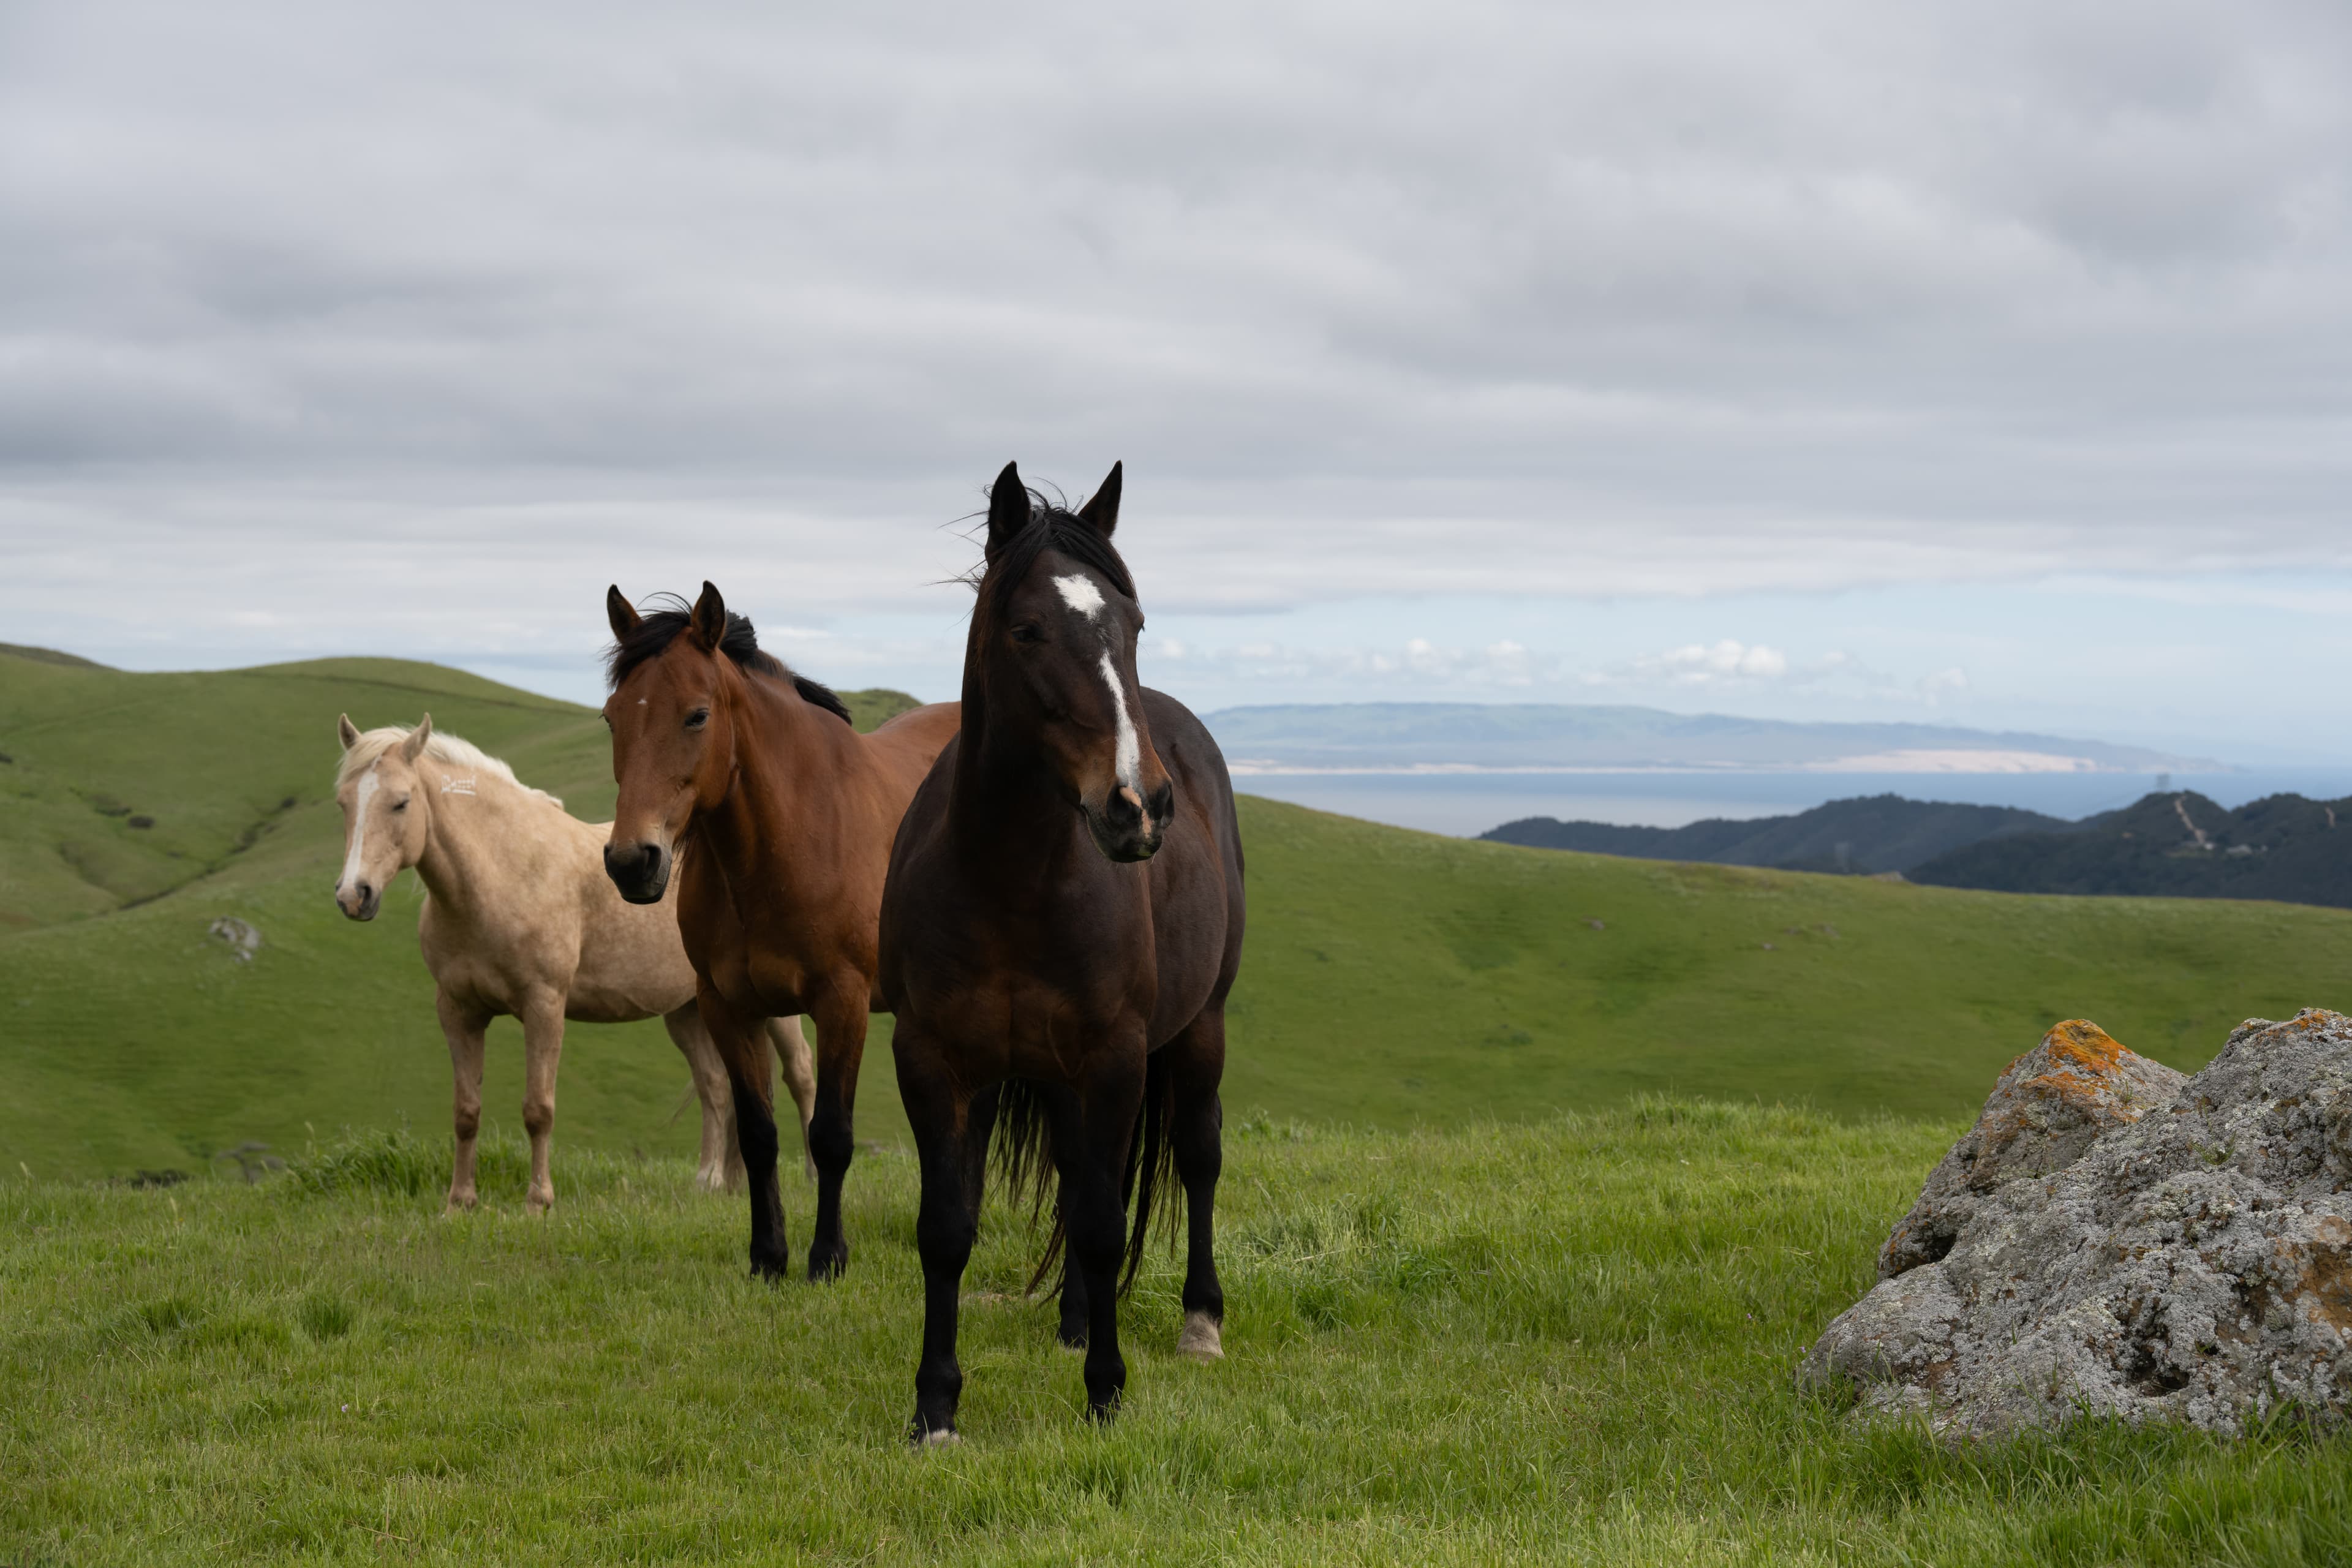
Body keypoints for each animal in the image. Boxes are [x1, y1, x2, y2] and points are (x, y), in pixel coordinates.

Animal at [332, 716, 816, 1211]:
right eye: (343, 802)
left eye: (401, 802)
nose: (354, 895)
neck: (503, 875)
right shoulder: (457, 1011)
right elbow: (466, 1112)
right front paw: (460, 1203)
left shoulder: (544, 1006)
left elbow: (538, 1109)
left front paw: (538, 1201)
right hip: (689, 1011)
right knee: (717, 1088)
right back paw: (714, 1183)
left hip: (771, 1010)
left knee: (800, 1074)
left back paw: (813, 1177)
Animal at [600, 588, 961, 1281]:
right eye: (611, 718)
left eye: (697, 716)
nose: (633, 862)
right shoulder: (728, 1007)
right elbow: (758, 1134)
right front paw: (768, 1256)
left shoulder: (842, 1002)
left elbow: (831, 1136)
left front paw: (827, 1258)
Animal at [878, 461, 1246, 1441]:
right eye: (1028, 629)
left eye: (1135, 624)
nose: (1139, 806)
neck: (1012, 884)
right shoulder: (934, 1061)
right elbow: (947, 1229)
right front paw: (935, 1406)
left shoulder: (1115, 1056)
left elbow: (1104, 1225)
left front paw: (1108, 1394)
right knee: (1083, 1172)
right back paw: (1078, 1320)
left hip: (1199, 1028)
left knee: (1193, 1155)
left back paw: (1199, 1322)